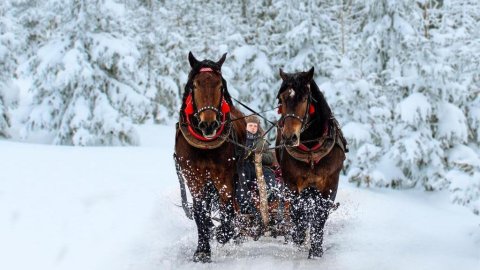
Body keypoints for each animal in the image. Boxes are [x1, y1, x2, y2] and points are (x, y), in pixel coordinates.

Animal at [174, 52, 246, 262]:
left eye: (220, 86)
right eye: (195, 85)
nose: (209, 125)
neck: (205, 147)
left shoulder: (225, 177)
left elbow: (227, 208)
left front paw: (223, 233)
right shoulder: (193, 177)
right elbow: (200, 211)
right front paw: (202, 250)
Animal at [274, 67, 348, 258]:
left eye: (304, 98)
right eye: (281, 99)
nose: (289, 137)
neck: (311, 150)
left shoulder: (330, 183)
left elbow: (320, 215)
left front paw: (315, 250)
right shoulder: (292, 184)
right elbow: (297, 214)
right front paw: (299, 242)